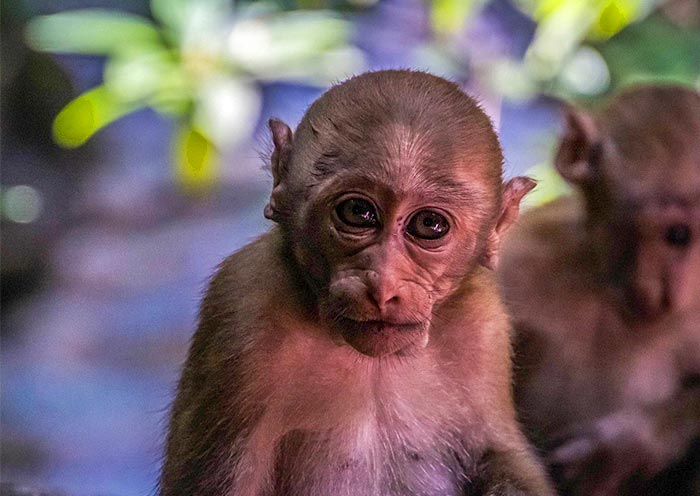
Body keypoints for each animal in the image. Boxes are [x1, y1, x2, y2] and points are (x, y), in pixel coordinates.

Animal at [159, 70, 555, 496]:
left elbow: (499, 454)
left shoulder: (484, 323)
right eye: (358, 212)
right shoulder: (242, 303)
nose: (383, 284)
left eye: (429, 224)